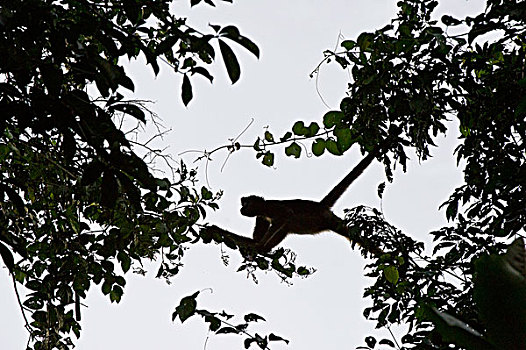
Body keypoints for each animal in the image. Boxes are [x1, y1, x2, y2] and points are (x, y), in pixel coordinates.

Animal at [241, 138, 390, 256]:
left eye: (245, 204)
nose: (241, 209)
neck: (264, 207)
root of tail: (319, 206)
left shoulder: (270, 206)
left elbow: (286, 214)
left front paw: (260, 246)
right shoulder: (261, 216)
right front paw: (255, 245)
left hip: (329, 219)